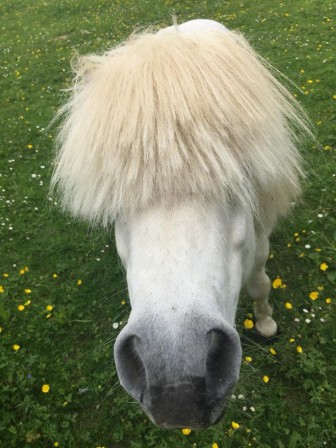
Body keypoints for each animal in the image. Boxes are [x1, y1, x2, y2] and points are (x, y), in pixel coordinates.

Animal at [51, 19, 312, 428]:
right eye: (117, 201)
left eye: (233, 181)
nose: (177, 386)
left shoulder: (261, 236)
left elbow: (260, 283)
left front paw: (266, 323)